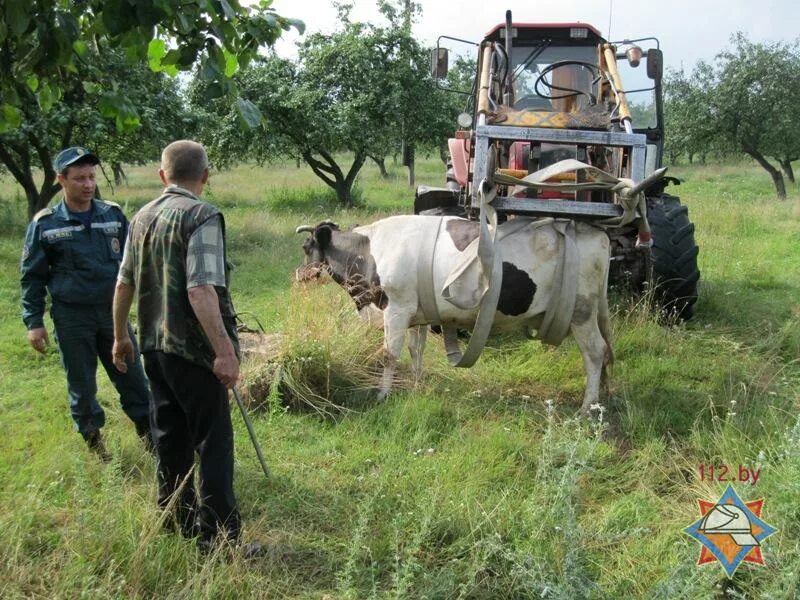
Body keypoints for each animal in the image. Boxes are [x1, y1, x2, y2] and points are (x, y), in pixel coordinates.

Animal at [294, 213, 612, 414]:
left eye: (306, 247)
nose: (298, 276)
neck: (371, 251)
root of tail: (596, 232)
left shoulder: (396, 309)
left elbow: (389, 355)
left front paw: (382, 394)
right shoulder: (416, 313)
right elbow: (416, 350)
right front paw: (416, 384)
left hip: (581, 312)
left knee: (596, 352)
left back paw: (588, 406)